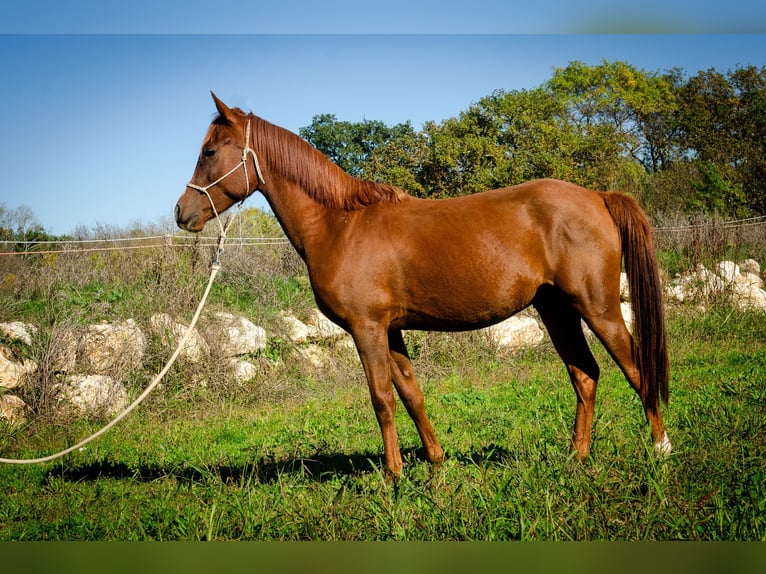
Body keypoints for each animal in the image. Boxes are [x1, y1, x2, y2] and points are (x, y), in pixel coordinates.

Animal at [176, 93, 672, 482]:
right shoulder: (390, 330)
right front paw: (436, 463)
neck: (340, 225)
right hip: (557, 310)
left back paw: (661, 448)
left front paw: (393, 478)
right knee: (585, 375)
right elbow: (411, 394)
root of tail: (599, 197)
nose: (183, 213)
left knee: (635, 369)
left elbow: (381, 399)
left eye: (210, 151)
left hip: (598, 307)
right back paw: (577, 458)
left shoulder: (367, 328)